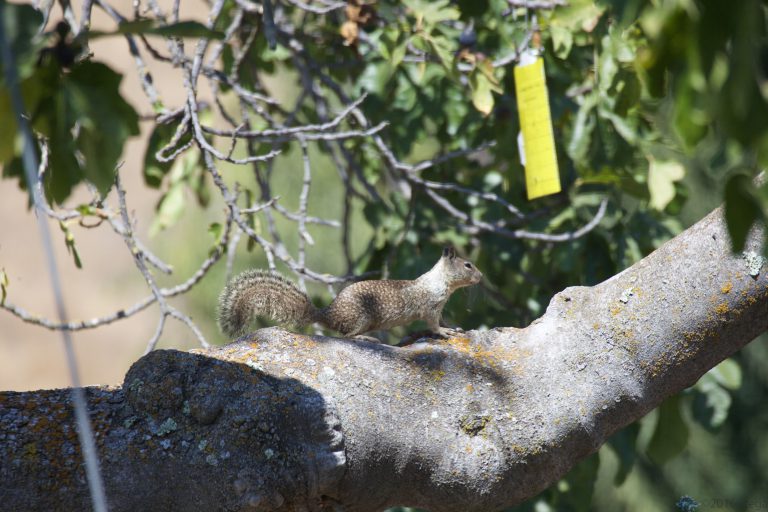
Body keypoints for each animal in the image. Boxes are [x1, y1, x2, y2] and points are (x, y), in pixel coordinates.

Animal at [218, 246, 483, 339]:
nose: (481, 277)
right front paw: (445, 333)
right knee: (347, 336)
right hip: (362, 317)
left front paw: (456, 328)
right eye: (468, 265)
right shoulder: (430, 307)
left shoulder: (440, 307)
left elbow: (443, 319)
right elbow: (433, 325)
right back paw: (366, 339)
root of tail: (327, 314)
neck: (440, 281)